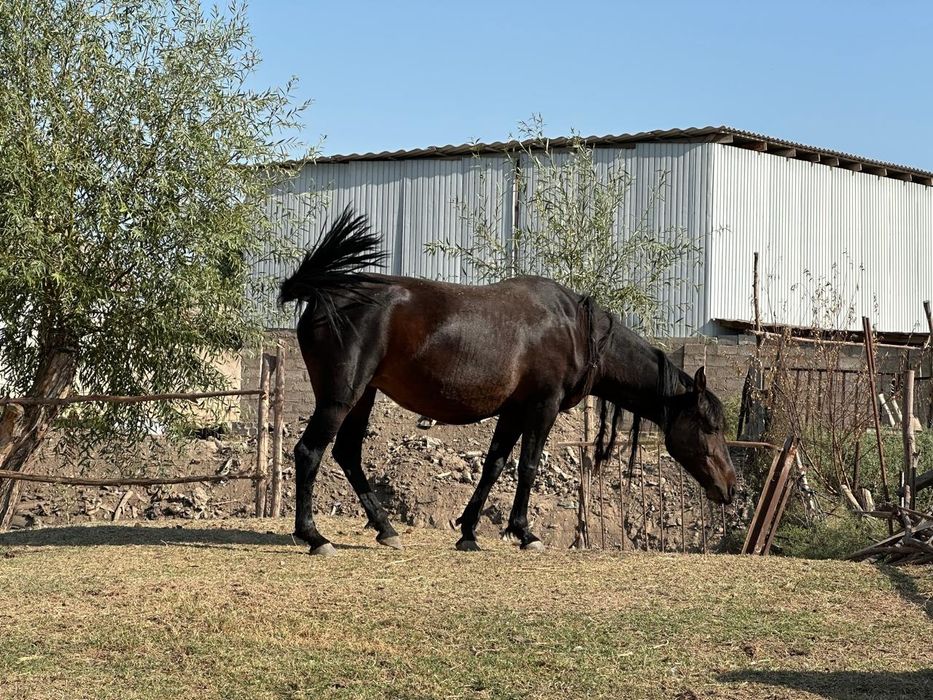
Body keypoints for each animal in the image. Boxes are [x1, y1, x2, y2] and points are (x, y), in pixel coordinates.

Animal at [278, 208, 737, 555]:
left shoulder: (514, 411)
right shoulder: (542, 407)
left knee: (347, 454)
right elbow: (528, 466)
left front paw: (469, 532)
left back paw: (386, 529)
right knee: (309, 452)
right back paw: (314, 536)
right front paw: (524, 531)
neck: (576, 331)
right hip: (340, 397)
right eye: (708, 425)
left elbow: (495, 465)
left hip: (363, 397)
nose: (730, 487)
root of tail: (324, 295)